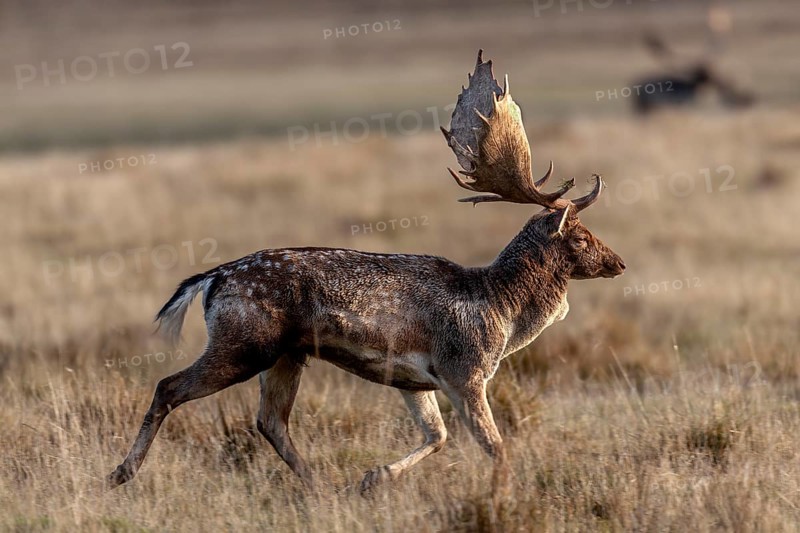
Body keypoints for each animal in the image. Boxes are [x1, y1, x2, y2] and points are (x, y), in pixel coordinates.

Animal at [107, 50, 626, 496]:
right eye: (580, 237)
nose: (618, 263)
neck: (503, 313)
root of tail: (212, 280)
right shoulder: (465, 370)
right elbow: (496, 449)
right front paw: (499, 498)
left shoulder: (417, 380)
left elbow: (437, 436)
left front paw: (373, 478)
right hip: (245, 344)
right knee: (169, 387)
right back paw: (119, 473)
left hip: (286, 355)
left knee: (270, 422)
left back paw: (321, 488)